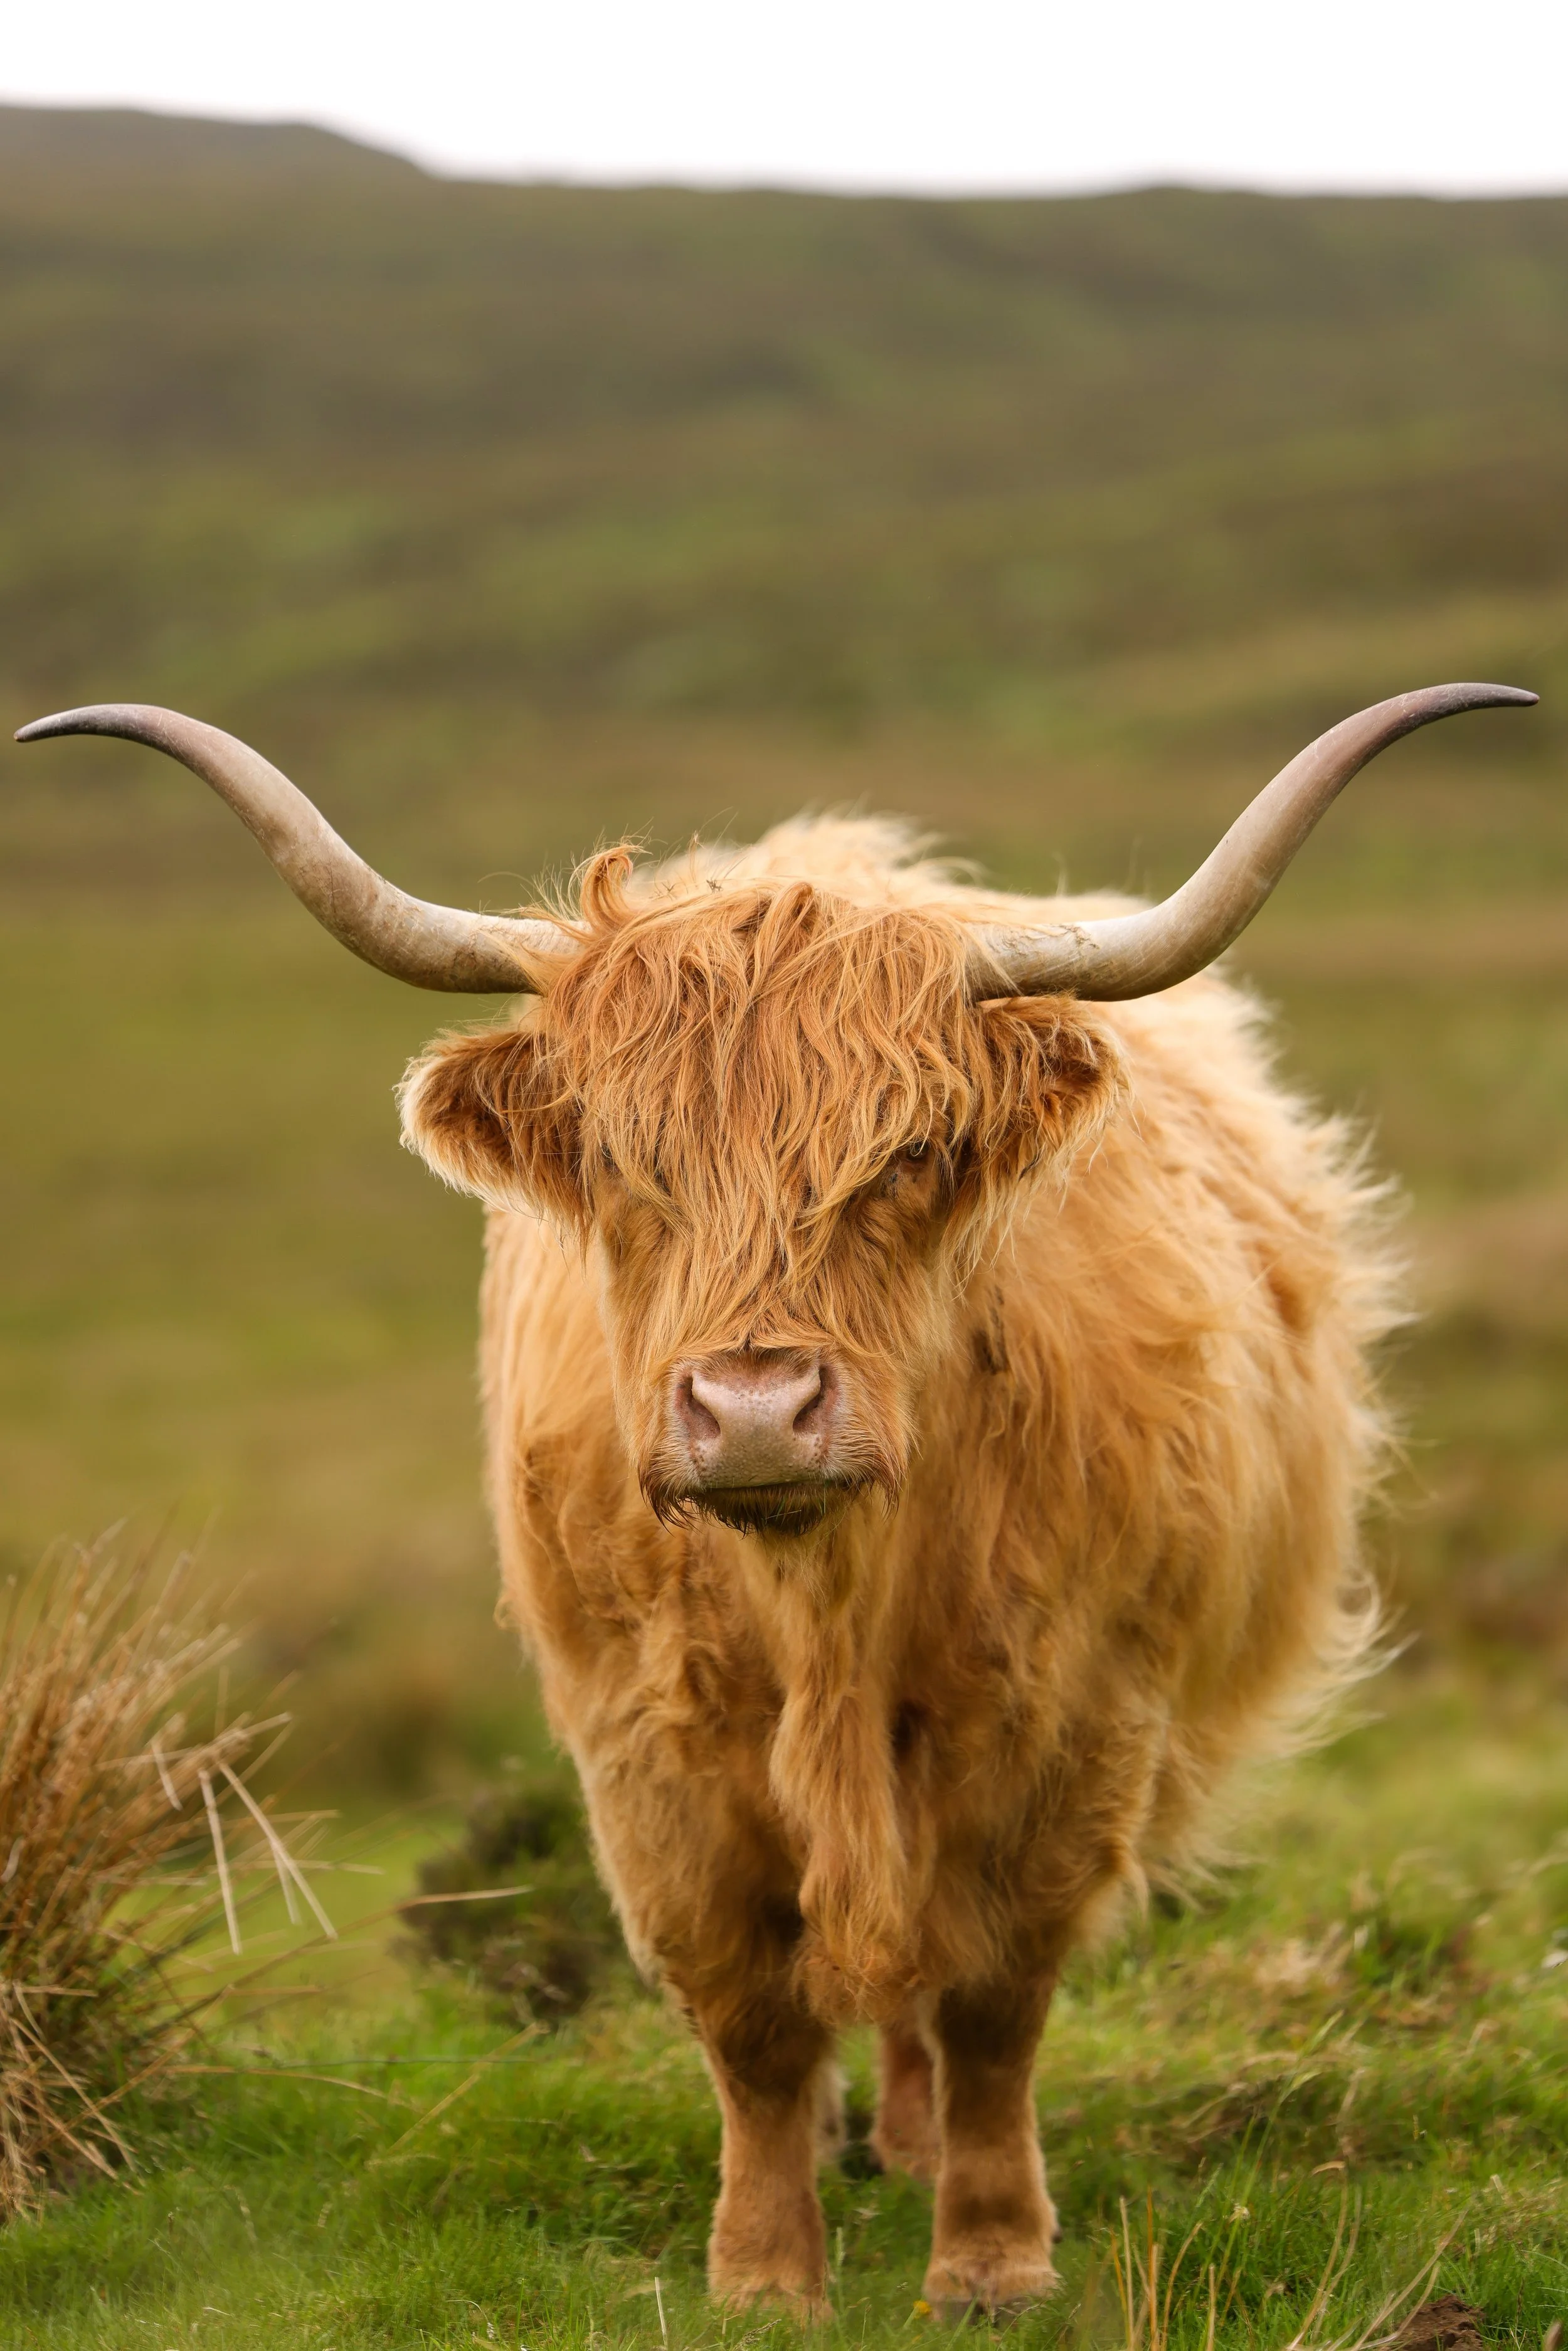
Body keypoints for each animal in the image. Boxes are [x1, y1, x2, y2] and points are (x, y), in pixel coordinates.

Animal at [18, 682, 1535, 2316]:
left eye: (912, 1151)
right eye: (625, 1162)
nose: (753, 1410)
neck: (827, 1608)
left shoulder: (1077, 1716)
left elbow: (993, 1994)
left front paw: (991, 2258)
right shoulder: (642, 1743)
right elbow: (743, 2004)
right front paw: (760, 2268)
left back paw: (914, 2144)